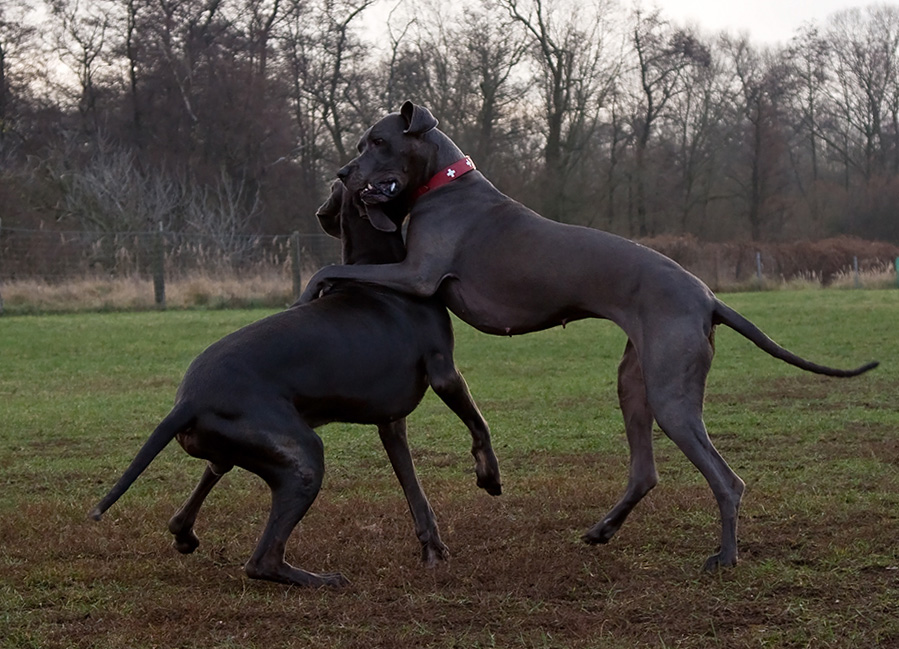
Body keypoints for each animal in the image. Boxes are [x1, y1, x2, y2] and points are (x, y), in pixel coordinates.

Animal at [89, 182, 506, 588]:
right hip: (303, 457)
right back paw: (324, 580)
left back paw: (185, 534)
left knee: (208, 479)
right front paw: (489, 474)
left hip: (241, 447)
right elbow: (478, 423)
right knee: (262, 560)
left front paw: (432, 547)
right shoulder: (444, 372)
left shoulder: (390, 423)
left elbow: (413, 488)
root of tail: (187, 401)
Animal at [298, 98, 880, 568]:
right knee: (645, 471)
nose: (343, 171)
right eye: (360, 144)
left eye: (378, 141)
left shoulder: (418, 274)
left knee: (727, 481)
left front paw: (306, 297)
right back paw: (603, 531)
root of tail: (708, 297)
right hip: (634, 382)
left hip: (671, 394)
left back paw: (725, 557)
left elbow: (328, 269)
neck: (445, 183)